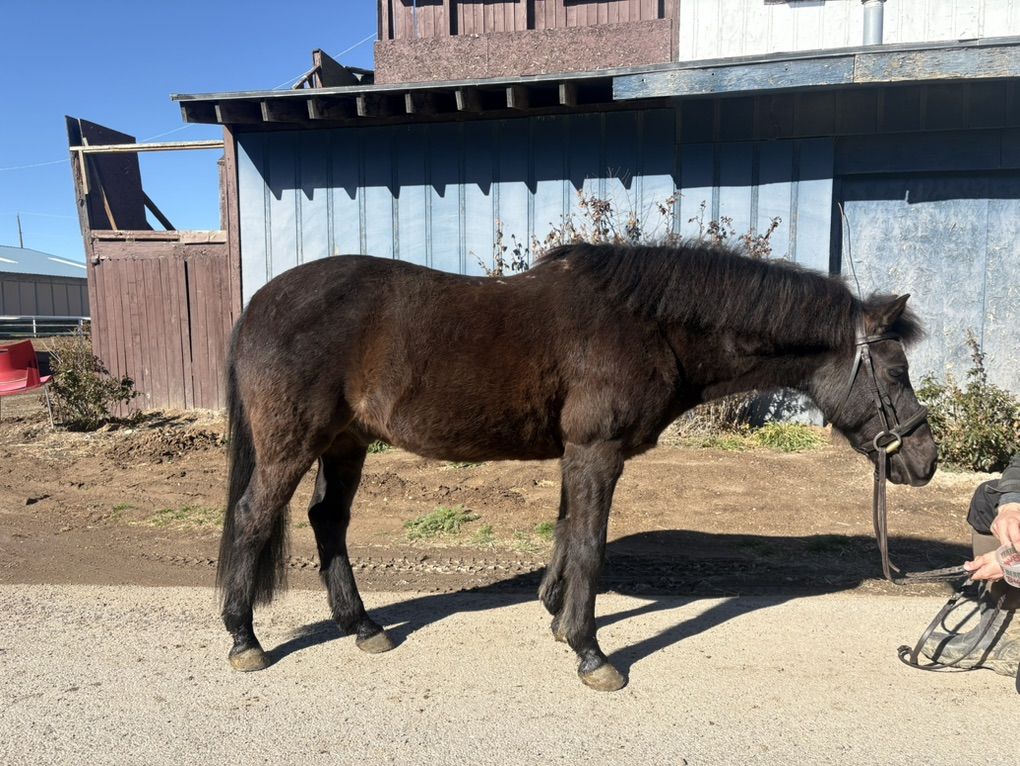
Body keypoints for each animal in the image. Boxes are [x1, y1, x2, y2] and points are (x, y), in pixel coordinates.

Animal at [217, 241, 938, 691]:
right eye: (894, 371)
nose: (925, 461)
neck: (651, 325)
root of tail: (259, 304)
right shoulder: (597, 450)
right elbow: (590, 544)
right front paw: (591, 652)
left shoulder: (579, 453)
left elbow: (567, 532)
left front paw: (555, 615)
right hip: (292, 445)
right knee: (254, 518)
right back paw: (245, 640)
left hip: (346, 443)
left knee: (327, 521)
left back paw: (363, 627)